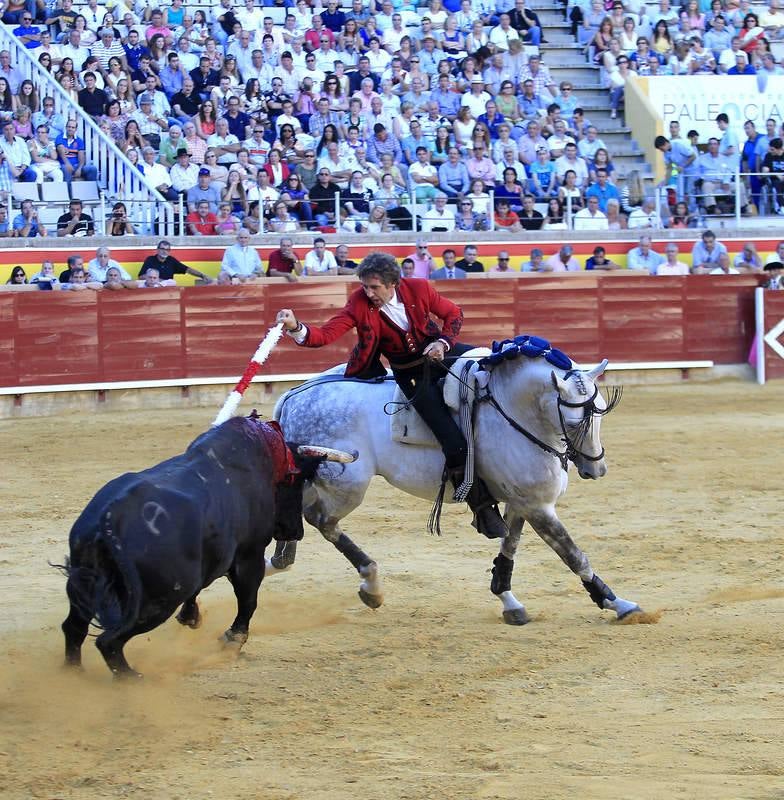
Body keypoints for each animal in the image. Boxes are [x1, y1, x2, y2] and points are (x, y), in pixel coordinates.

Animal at [59, 416, 324, 680]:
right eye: (299, 483)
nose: (296, 531)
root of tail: (109, 519)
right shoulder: (250, 555)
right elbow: (248, 600)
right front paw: (232, 639)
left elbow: (202, 589)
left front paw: (191, 618)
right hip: (156, 601)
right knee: (108, 641)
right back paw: (131, 678)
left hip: (85, 585)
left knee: (73, 628)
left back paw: (74, 672)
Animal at [272, 338, 640, 624]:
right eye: (576, 422)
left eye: (601, 409)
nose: (597, 469)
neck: (511, 409)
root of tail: (294, 396)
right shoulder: (538, 505)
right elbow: (573, 554)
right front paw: (618, 603)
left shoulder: (521, 502)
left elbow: (509, 546)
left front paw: (509, 601)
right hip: (346, 485)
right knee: (321, 519)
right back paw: (370, 585)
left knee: (295, 510)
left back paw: (279, 561)